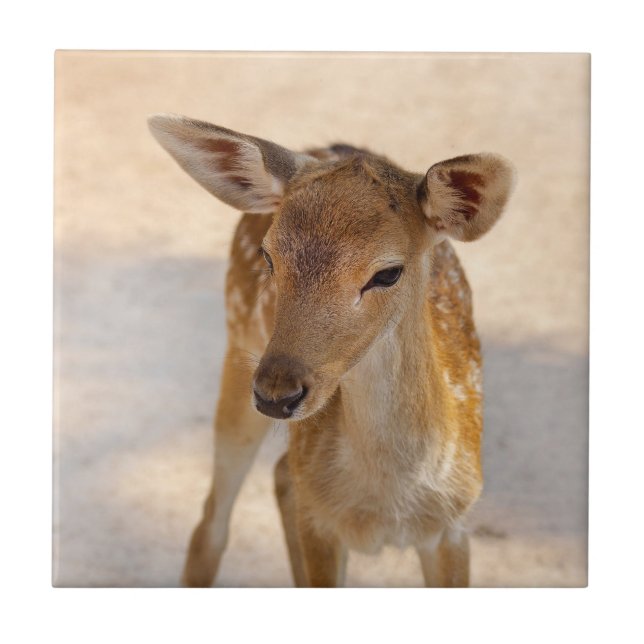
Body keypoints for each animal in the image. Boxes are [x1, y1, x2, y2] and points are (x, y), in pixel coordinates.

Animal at [148, 114, 515, 587]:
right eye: (269, 257)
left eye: (388, 273)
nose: (276, 394)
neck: (386, 506)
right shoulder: (320, 524)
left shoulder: (454, 524)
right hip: (238, 347)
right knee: (213, 519)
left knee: (281, 474)